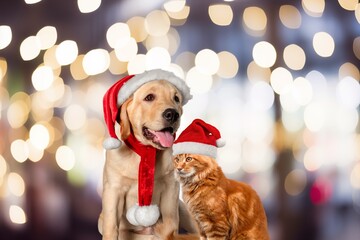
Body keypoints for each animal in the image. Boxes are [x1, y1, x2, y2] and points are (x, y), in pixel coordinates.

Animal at [98, 70, 197, 240]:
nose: (173, 114)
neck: (146, 150)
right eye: (149, 97)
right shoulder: (113, 189)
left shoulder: (171, 188)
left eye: (176, 98)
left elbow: (170, 225)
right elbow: (111, 227)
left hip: (184, 210)